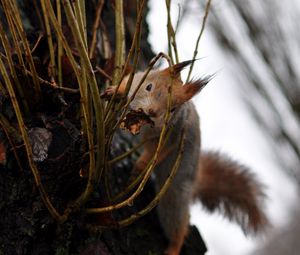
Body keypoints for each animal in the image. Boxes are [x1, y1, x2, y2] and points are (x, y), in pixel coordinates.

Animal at [104, 60, 268, 255]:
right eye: (148, 86)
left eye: (173, 109)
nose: (152, 112)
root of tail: (195, 180)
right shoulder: (138, 78)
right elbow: (128, 81)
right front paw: (115, 90)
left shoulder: (171, 136)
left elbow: (155, 153)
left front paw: (140, 165)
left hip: (174, 196)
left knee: (178, 227)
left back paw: (173, 249)